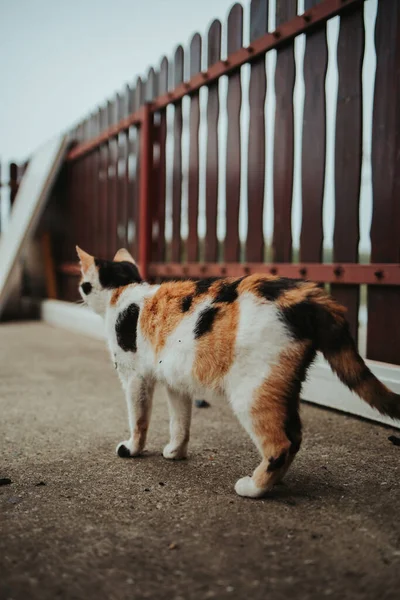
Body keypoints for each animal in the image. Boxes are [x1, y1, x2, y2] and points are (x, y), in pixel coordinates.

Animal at [76, 246, 398, 500]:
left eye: (83, 284)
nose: (79, 292)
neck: (123, 290)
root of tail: (307, 295)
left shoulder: (134, 378)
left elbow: (139, 420)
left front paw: (132, 448)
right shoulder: (176, 382)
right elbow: (180, 422)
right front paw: (175, 452)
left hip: (252, 392)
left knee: (280, 443)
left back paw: (254, 488)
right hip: (283, 386)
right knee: (295, 436)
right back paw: (273, 482)